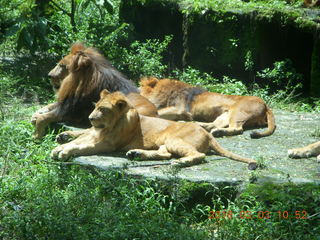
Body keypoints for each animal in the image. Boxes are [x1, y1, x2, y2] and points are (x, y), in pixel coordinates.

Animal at [51, 89, 258, 170]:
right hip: (166, 144)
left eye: (103, 109)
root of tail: (207, 133)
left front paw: (65, 152)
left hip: (174, 140)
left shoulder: (106, 144)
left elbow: (82, 147)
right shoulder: (93, 134)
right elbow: (77, 140)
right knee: (165, 154)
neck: (105, 127)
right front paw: (59, 147)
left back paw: (179, 163)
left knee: (198, 156)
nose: (90, 118)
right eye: (96, 107)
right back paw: (136, 154)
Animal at [141, 77, 276, 139]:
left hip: (237, 112)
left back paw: (218, 132)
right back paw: (197, 125)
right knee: (214, 124)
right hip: (226, 114)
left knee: (237, 129)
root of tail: (266, 105)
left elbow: (159, 111)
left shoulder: (180, 109)